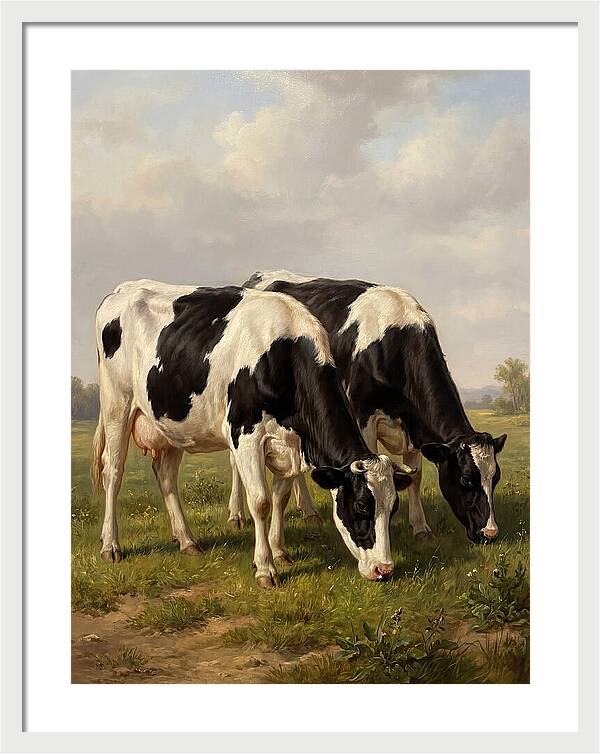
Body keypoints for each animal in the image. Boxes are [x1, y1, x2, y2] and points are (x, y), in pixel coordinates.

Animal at [91, 280, 413, 588]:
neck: (284, 356)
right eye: (361, 505)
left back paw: (187, 541)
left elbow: (281, 497)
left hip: (172, 423)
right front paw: (265, 568)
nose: (384, 570)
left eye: (394, 506)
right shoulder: (245, 436)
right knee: (113, 471)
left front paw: (280, 552)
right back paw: (111, 546)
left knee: (165, 474)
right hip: (117, 404)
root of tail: (124, 289)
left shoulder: (291, 445)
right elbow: (261, 501)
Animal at [230, 271, 507, 545]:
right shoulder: (364, 418)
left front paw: (420, 528)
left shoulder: (412, 424)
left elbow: (415, 476)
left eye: (495, 478)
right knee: (237, 466)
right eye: (466, 479)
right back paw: (236, 515)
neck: (395, 341)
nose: (490, 533)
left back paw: (307, 511)